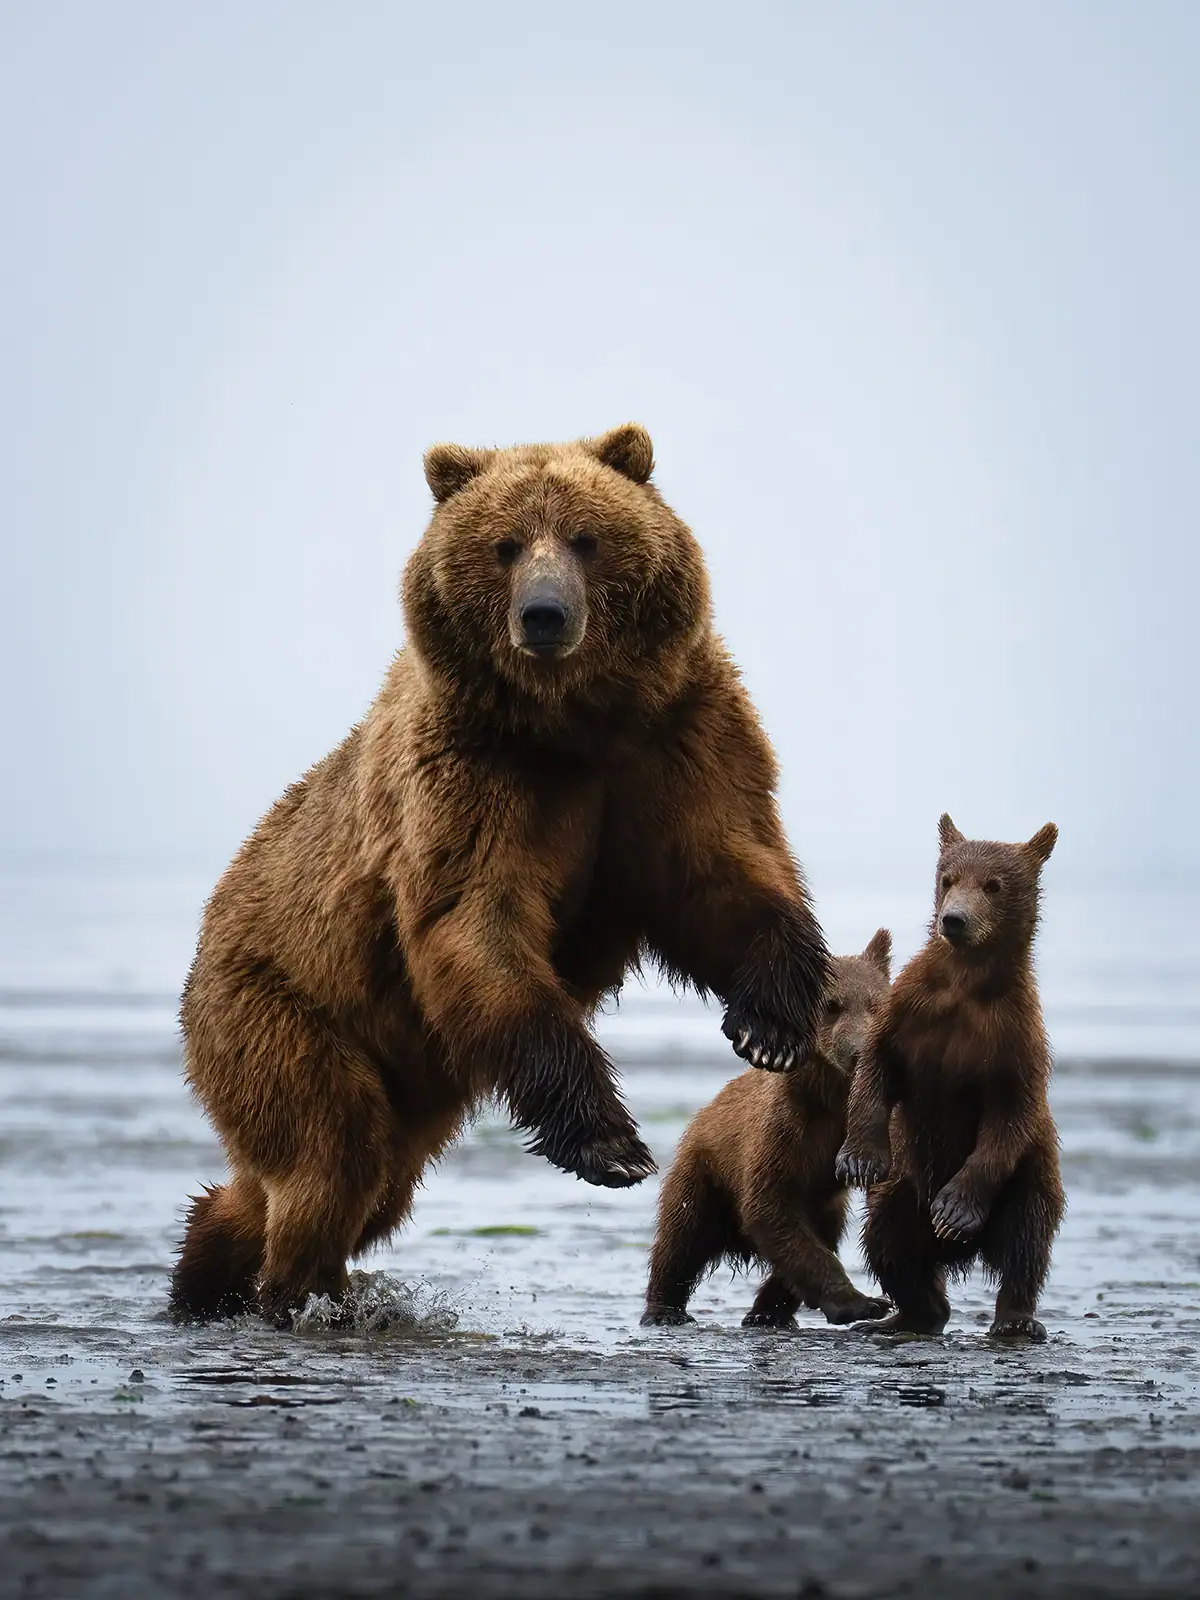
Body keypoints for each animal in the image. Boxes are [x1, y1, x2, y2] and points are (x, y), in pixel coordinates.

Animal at [170, 423, 830, 1326]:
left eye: (587, 538)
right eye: (505, 545)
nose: (544, 614)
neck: (575, 724)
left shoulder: (679, 741)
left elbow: (720, 873)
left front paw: (769, 1025)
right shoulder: (473, 773)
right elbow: (478, 923)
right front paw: (612, 1145)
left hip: (400, 1070)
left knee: (359, 1185)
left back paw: (210, 1273)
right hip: (279, 1001)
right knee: (329, 1154)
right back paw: (281, 1290)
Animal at [641, 932, 895, 1330]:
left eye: (875, 1003)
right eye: (832, 1005)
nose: (858, 1051)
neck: (831, 1101)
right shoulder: (783, 1135)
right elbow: (769, 1207)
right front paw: (861, 1303)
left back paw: (767, 1313)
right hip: (705, 1169)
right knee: (681, 1236)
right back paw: (664, 1309)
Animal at [836, 814, 1065, 1341]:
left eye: (993, 884)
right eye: (948, 879)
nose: (954, 920)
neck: (966, 986)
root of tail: (958, 1256)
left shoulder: (1014, 1037)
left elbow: (1010, 1112)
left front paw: (955, 1210)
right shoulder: (911, 1011)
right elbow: (877, 1066)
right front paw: (858, 1158)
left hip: (1027, 1179)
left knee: (1026, 1239)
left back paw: (1016, 1318)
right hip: (903, 1189)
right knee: (887, 1240)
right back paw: (904, 1314)